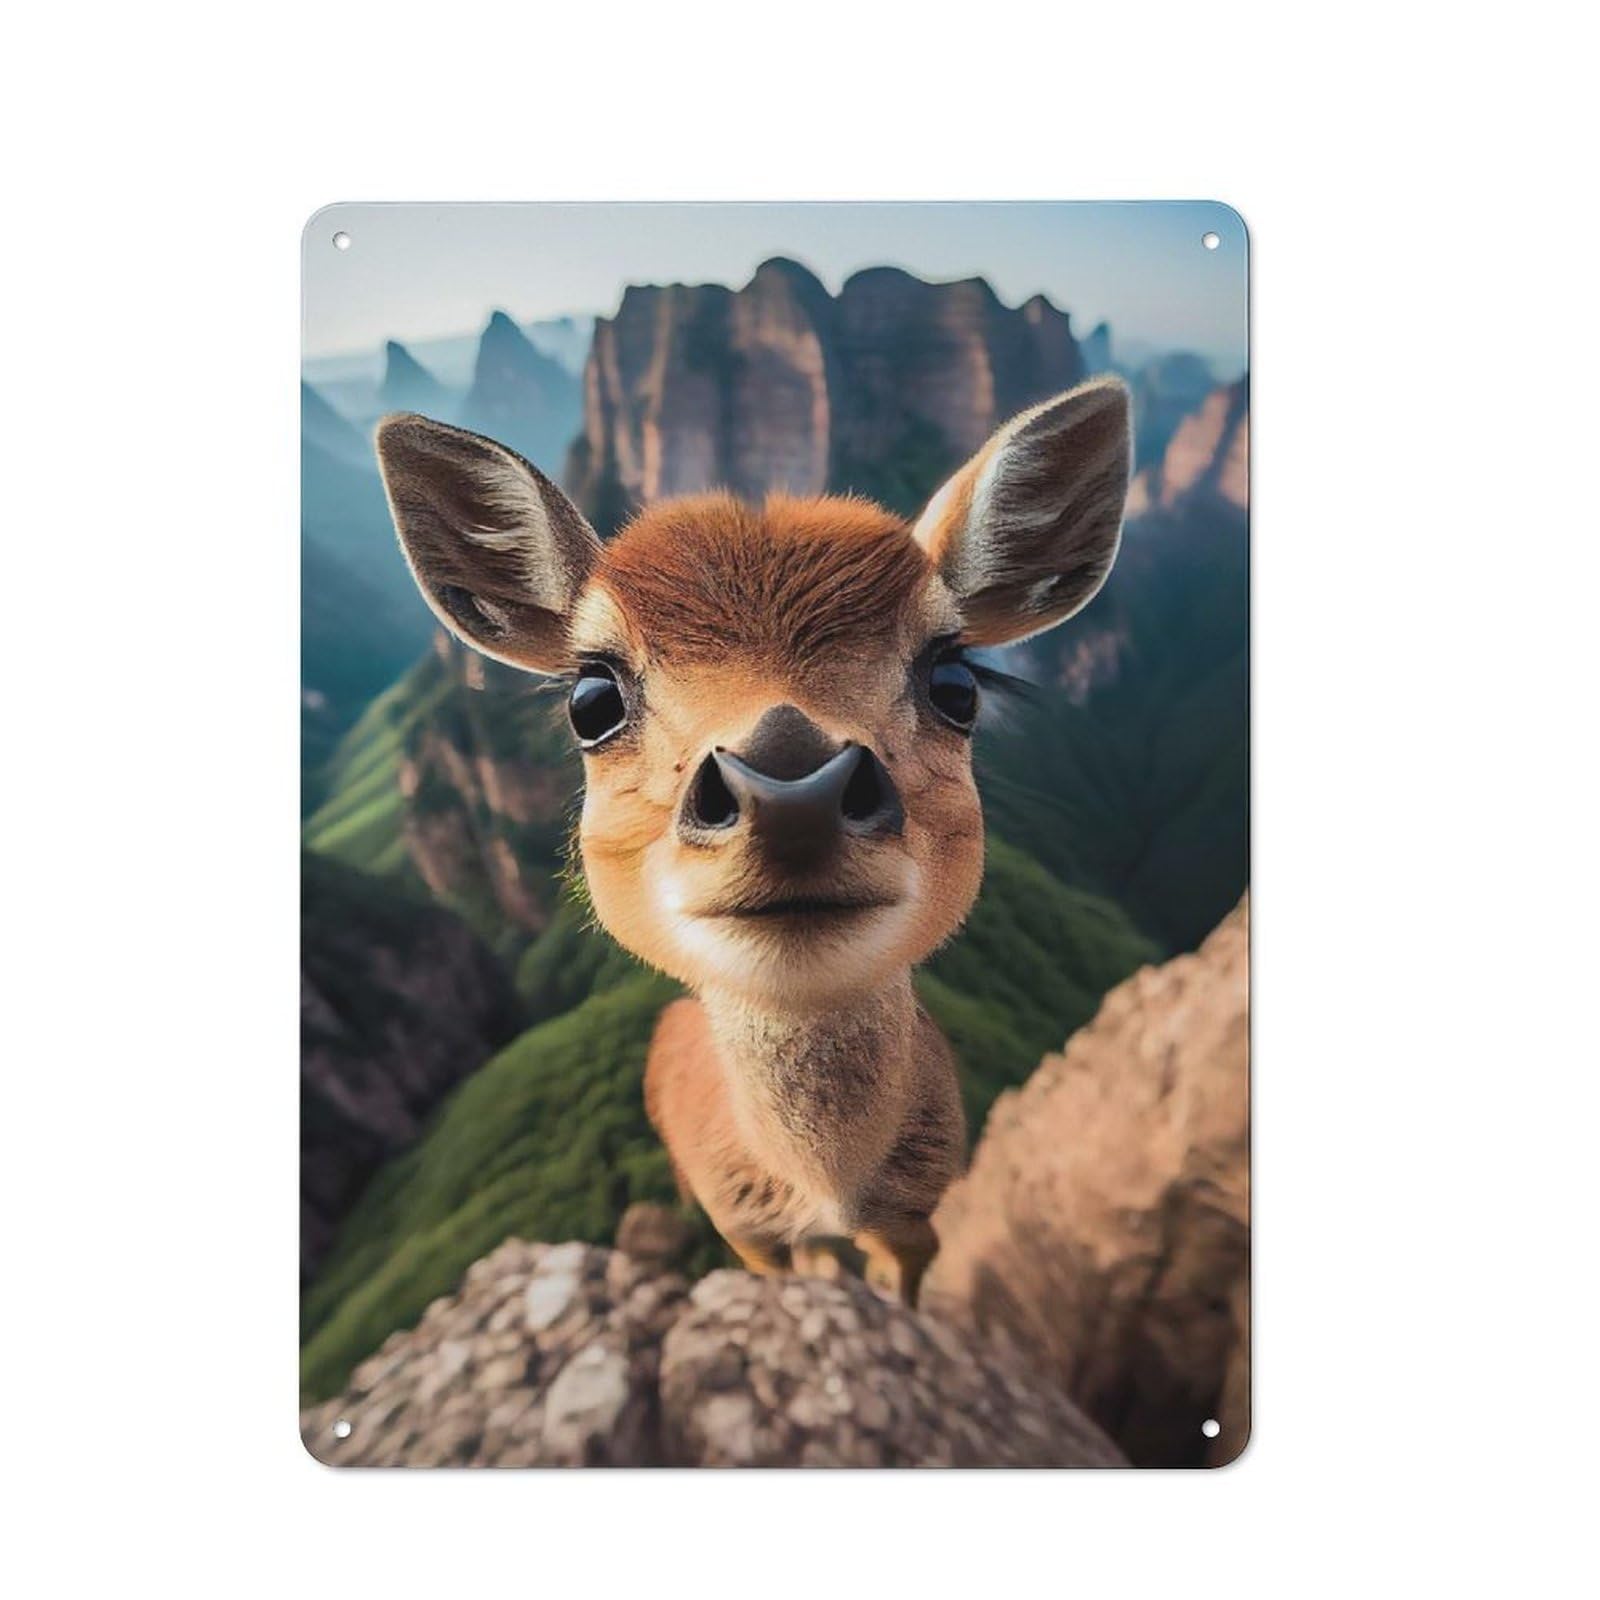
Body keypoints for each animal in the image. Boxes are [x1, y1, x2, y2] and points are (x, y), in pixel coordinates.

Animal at [374, 376, 1132, 1306]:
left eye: (956, 678)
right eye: (592, 697)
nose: (791, 791)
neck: (825, 1190)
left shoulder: (919, 1214)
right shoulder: (745, 1227)